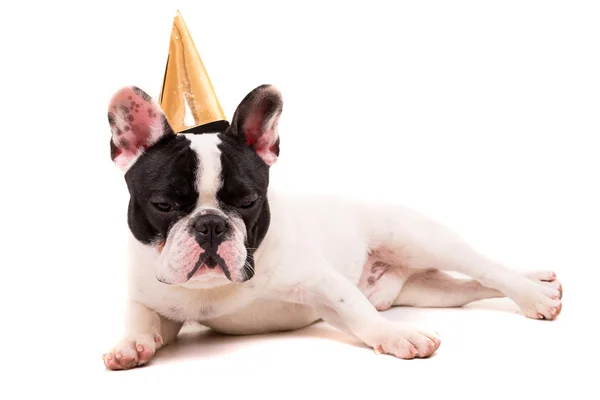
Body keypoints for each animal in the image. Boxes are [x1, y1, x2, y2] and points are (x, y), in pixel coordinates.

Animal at [102, 83, 564, 368]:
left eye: (248, 202)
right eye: (164, 205)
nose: (211, 225)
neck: (212, 291)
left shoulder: (321, 282)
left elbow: (357, 312)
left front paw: (397, 336)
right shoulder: (151, 300)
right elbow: (141, 321)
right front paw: (129, 345)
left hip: (417, 238)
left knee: (486, 268)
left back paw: (534, 295)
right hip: (429, 290)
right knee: (469, 287)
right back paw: (543, 283)